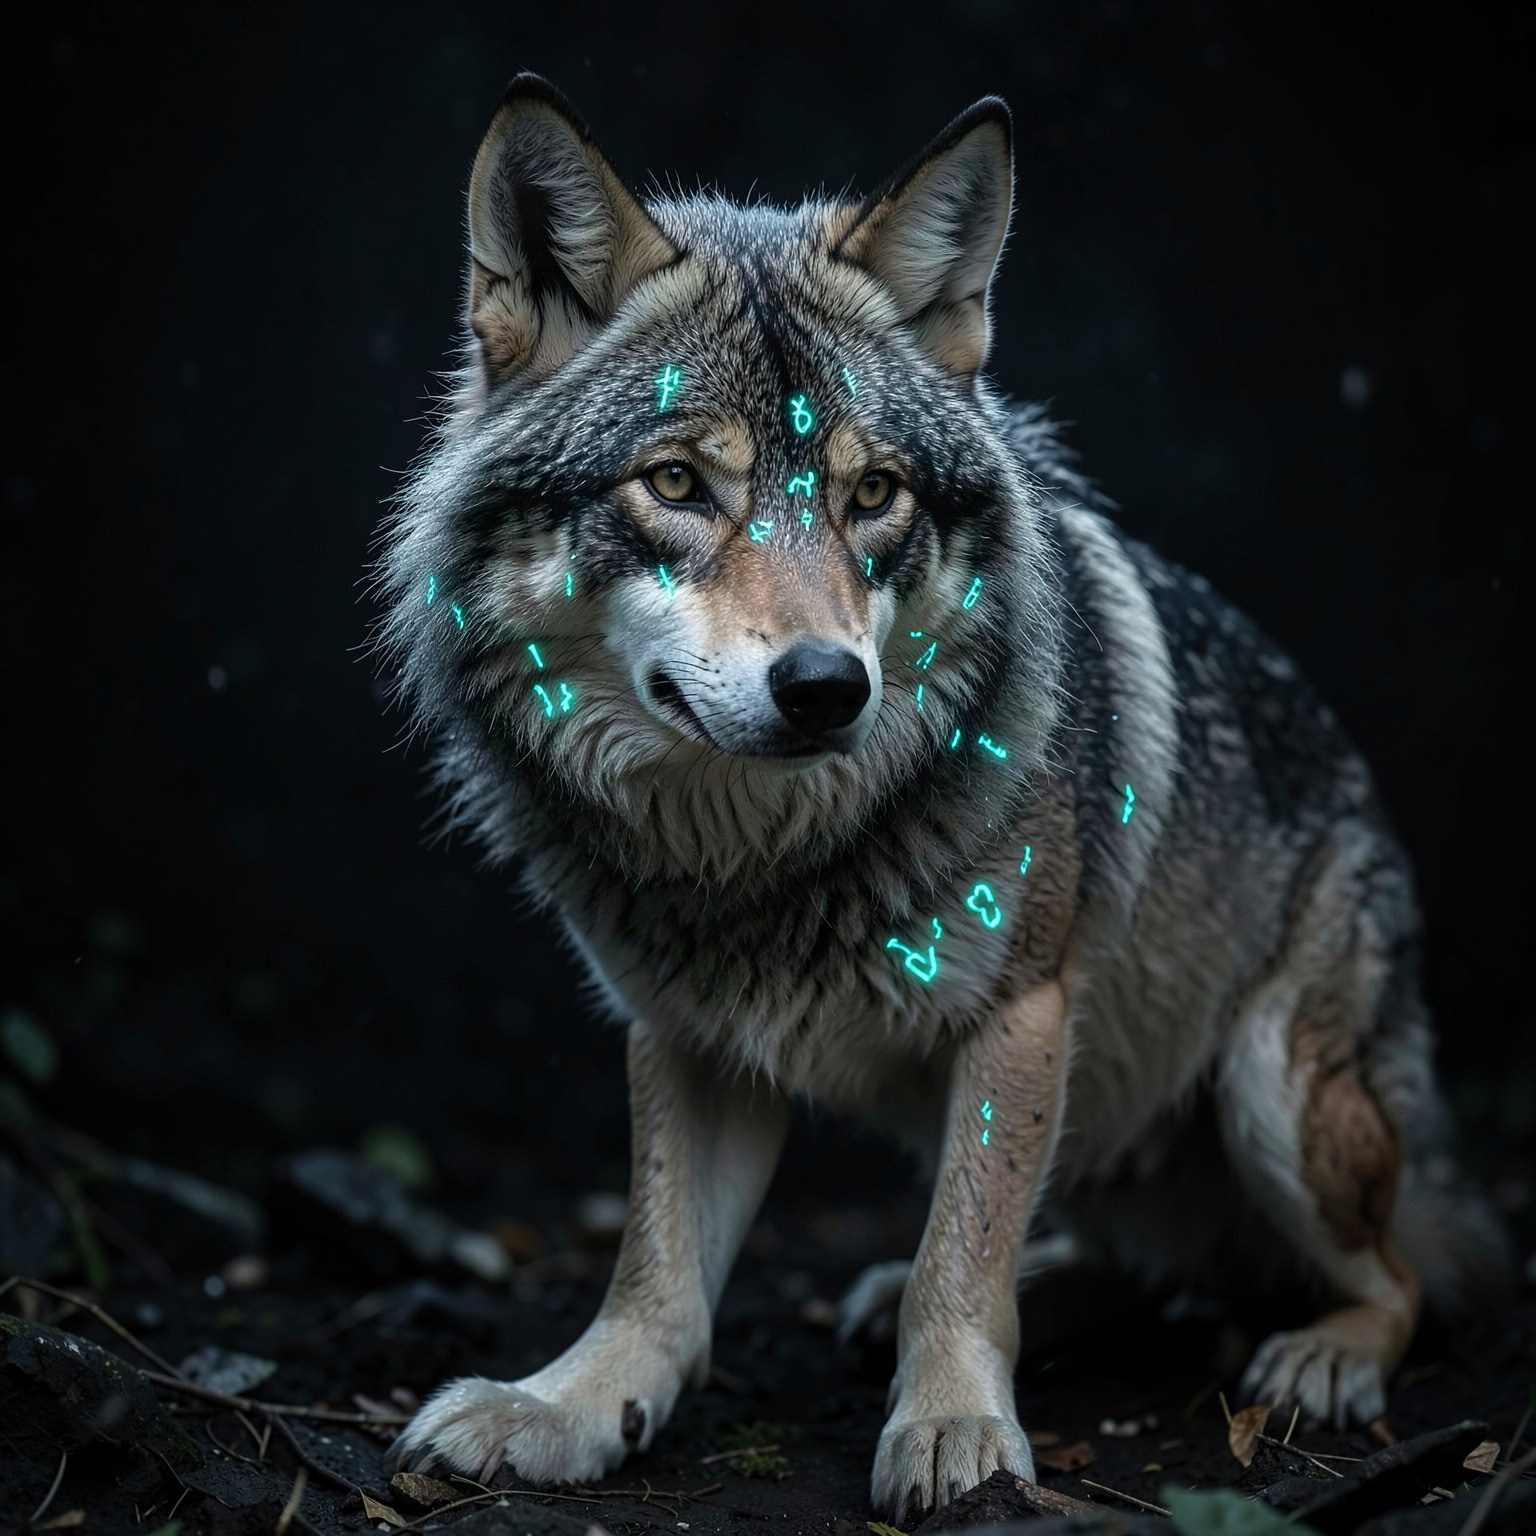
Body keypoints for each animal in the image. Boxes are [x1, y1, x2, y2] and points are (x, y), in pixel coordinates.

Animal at [377, 75, 1507, 1521]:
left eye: (874, 494)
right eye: (678, 482)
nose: (823, 688)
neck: (761, 863)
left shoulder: (1020, 1012)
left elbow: (958, 1261)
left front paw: (958, 1430)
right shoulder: (683, 1035)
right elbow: (657, 1276)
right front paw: (566, 1410)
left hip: (1279, 1093)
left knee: (1408, 1280)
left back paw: (1326, 1357)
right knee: (1142, 1265)